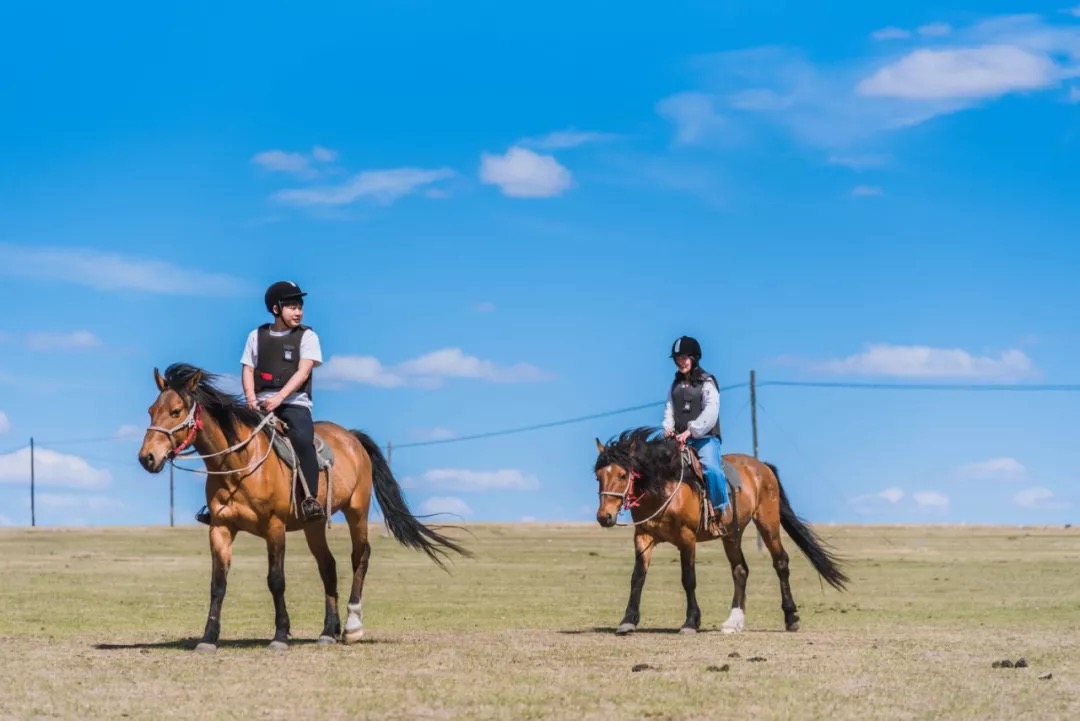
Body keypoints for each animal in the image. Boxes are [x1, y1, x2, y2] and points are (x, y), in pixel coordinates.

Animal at [138, 362, 468, 651]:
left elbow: (276, 580)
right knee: (329, 567)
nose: (147, 457)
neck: (239, 465)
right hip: (314, 524)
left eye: (176, 411)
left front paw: (281, 635)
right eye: (151, 411)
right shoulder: (220, 528)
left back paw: (352, 627)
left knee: (359, 557)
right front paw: (208, 638)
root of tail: (351, 436)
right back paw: (328, 631)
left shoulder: (274, 527)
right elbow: (218, 583)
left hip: (356, 511)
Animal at [591, 427, 851, 634]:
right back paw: (733, 622)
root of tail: (762, 467)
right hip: (732, 534)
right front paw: (628, 621)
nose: (604, 517)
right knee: (740, 570)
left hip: (767, 522)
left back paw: (791, 618)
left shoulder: (687, 538)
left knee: (780, 562)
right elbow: (638, 577)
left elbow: (688, 579)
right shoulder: (643, 536)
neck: (664, 486)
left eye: (623, 474)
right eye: (598, 476)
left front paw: (691, 622)